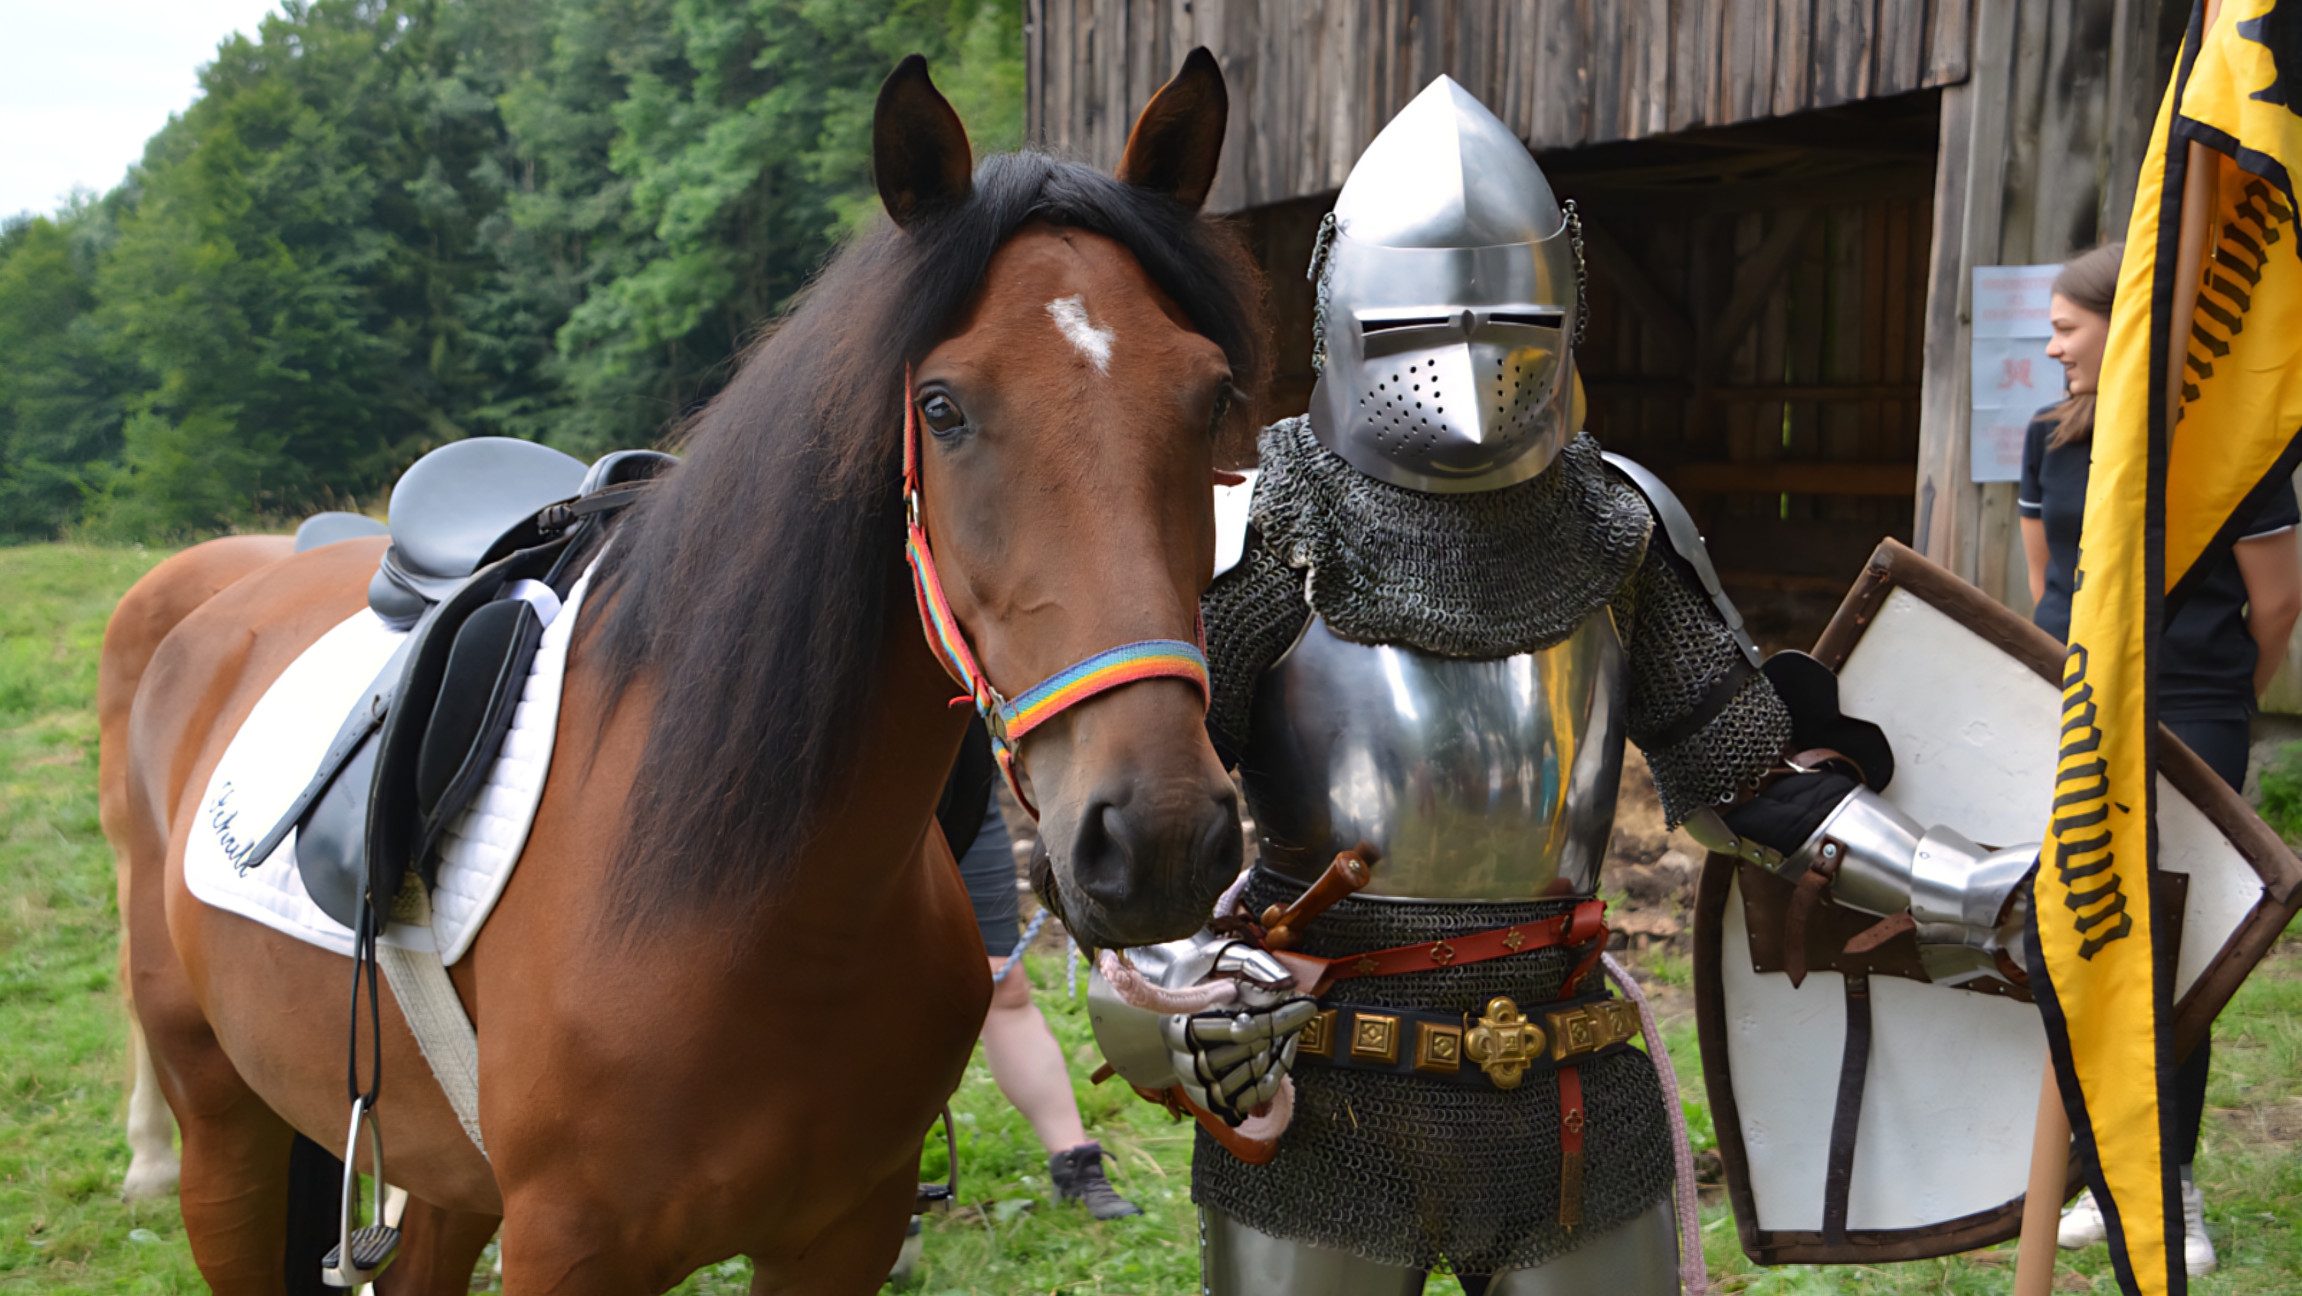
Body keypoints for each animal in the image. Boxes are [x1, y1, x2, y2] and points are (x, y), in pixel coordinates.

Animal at [102, 49, 1265, 1293]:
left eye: (1208, 397)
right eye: (943, 408)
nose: (1158, 835)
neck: (763, 908)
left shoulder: (843, 1234)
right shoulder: (567, 1248)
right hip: (227, 1129)